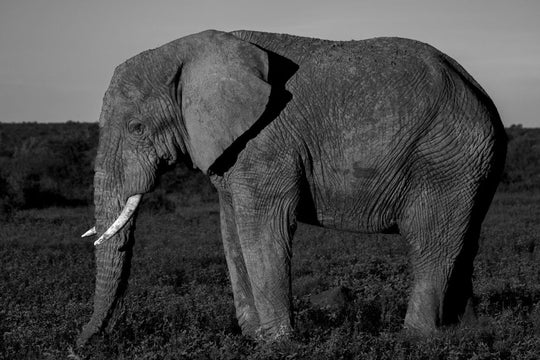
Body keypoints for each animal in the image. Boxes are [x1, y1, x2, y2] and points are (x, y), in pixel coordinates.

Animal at [76, 29, 506, 344]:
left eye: (137, 128)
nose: (81, 343)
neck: (190, 50)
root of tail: (479, 90)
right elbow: (232, 232)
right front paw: (255, 340)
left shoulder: (267, 141)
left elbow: (263, 230)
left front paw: (278, 344)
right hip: (473, 163)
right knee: (464, 242)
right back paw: (469, 333)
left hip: (446, 156)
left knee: (430, 241)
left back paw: (416, 338)